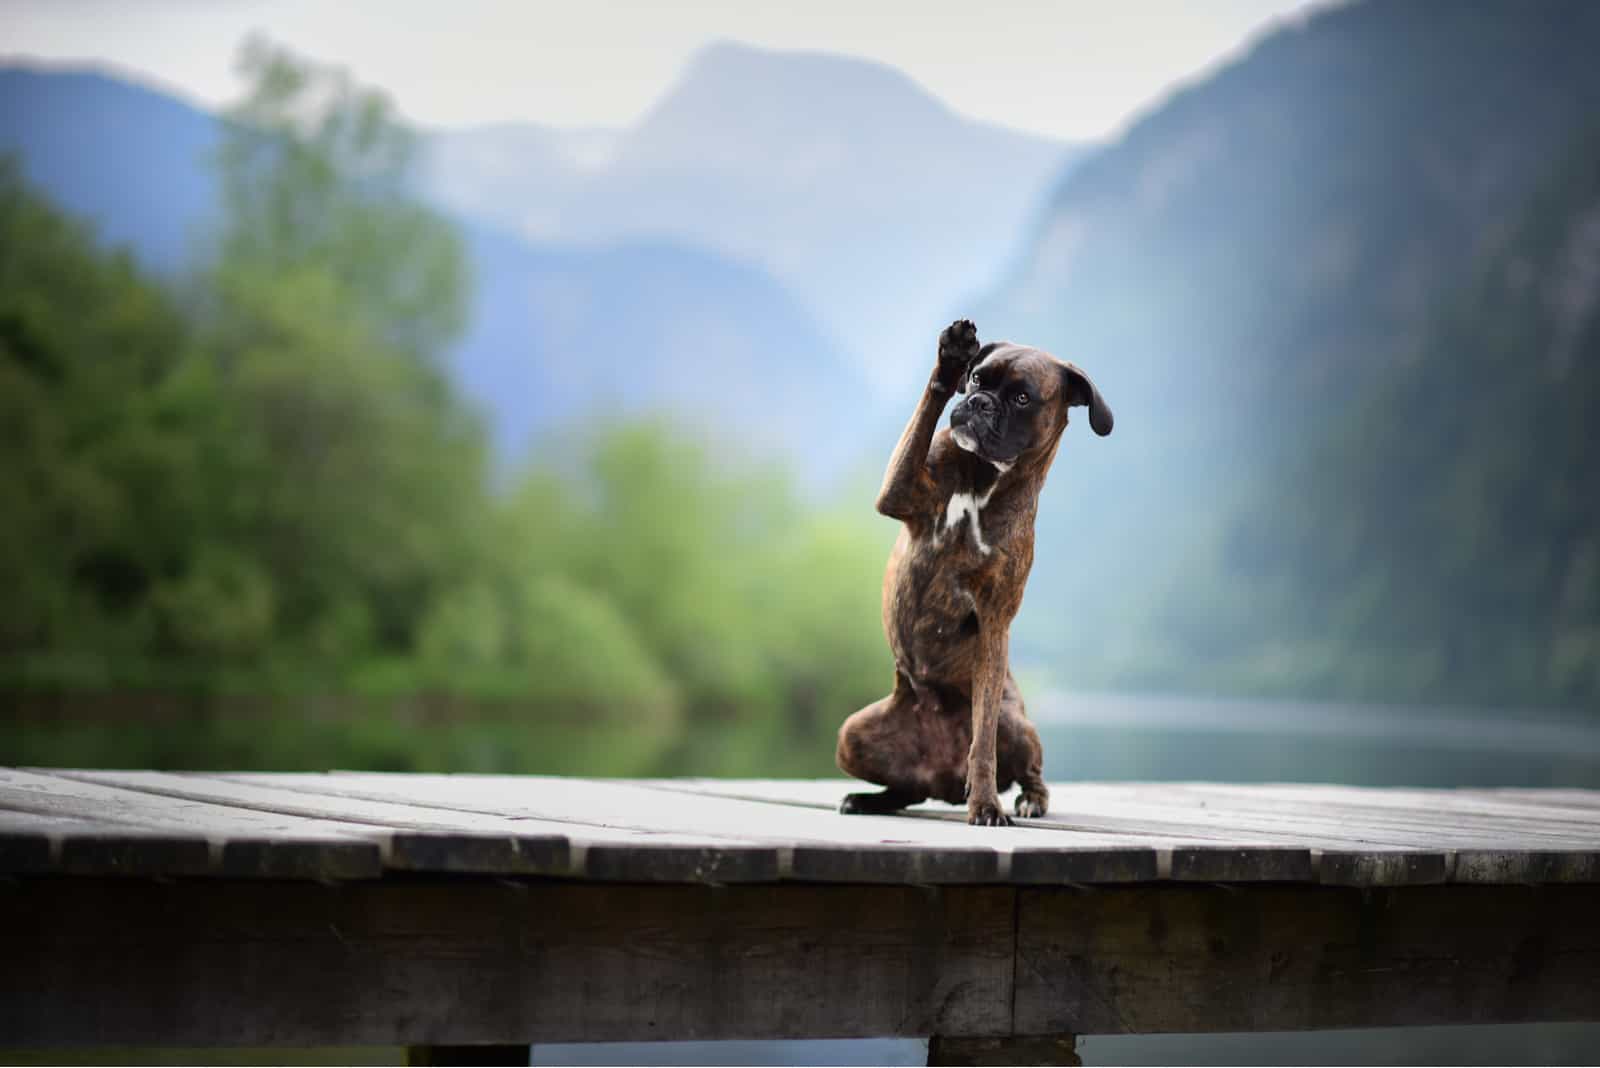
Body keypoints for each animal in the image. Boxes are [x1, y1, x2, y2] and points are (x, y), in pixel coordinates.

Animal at [838, 316, 1113, 824]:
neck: (983, 478)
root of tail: (940, 778)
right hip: (851, 736)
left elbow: (982, 741)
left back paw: (1029, 800)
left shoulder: (993, 621)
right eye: (979, 379)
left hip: (1016, 723)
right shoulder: (898, 491)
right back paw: (869, 799)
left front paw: (985, 803)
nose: (978, 402)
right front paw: (949, 358)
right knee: (904, 790)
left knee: (1029, 770)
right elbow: (924, 417)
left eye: (1022, 398)